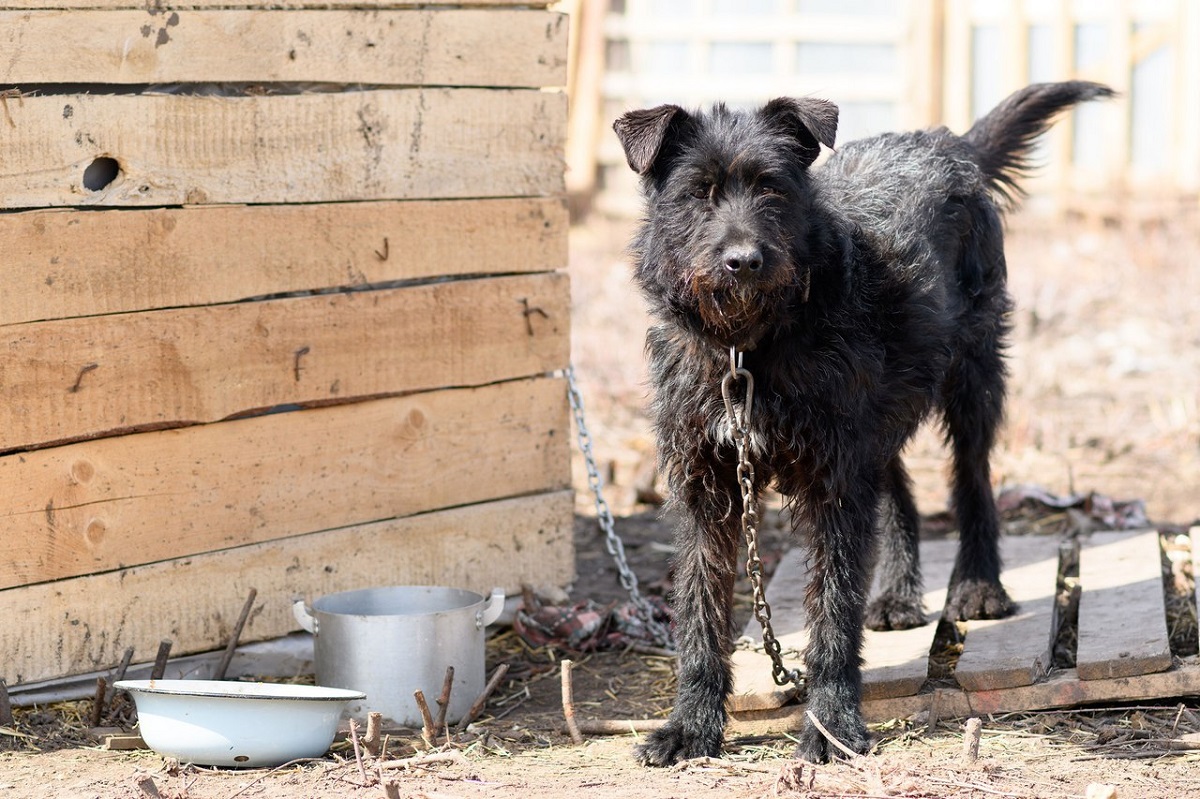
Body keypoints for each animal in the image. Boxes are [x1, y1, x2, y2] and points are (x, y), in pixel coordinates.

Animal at [619, 82, 1113, 767]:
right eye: (698, 192)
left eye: (773, 188)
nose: (744, 261)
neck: (748, 346)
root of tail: (947, 142)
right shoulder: (707, 483)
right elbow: (700, 609)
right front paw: (691, 724)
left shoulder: (834, 479)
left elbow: (832, 608)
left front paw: (831, 724)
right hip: (885, 409)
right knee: (898, 487)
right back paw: (900, 592)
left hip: (972, 376)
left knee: (973, 479)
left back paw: (979, 586)